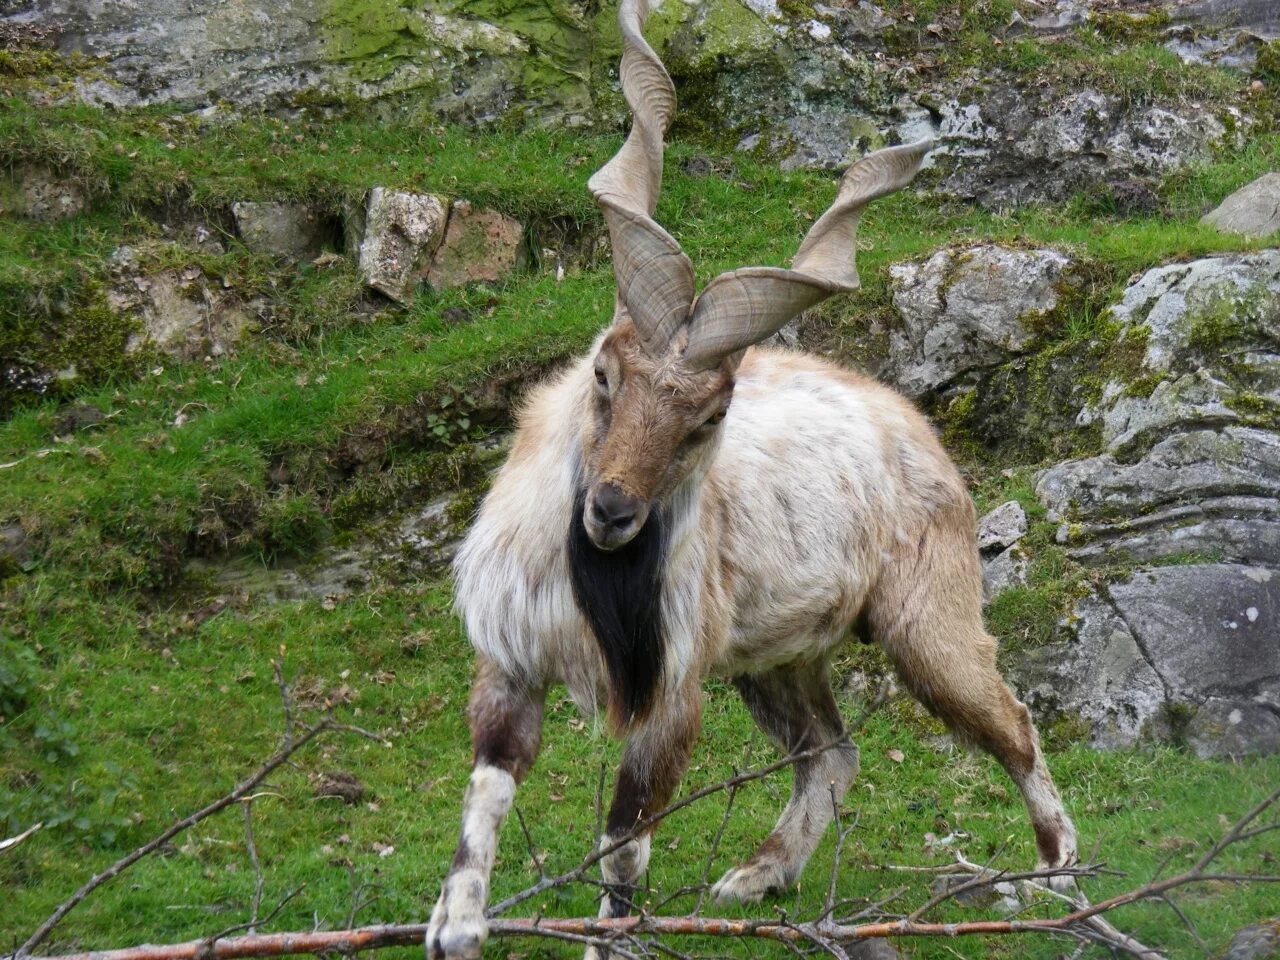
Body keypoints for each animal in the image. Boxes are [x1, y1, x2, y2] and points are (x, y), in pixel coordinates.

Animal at [424, 0, 1075, 957]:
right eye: (603, 373)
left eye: (711, 415)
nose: (612, 511)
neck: (598, 590)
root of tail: (912, 423)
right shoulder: (511, 660)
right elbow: (488, 788)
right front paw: (456, 926)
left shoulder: (671, 688)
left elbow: (625, 838)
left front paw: (608, 938)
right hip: (780, 654)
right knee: (830, 751)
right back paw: (759, 875)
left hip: (926, 619)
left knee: (1010, 722)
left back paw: (1057, 876)